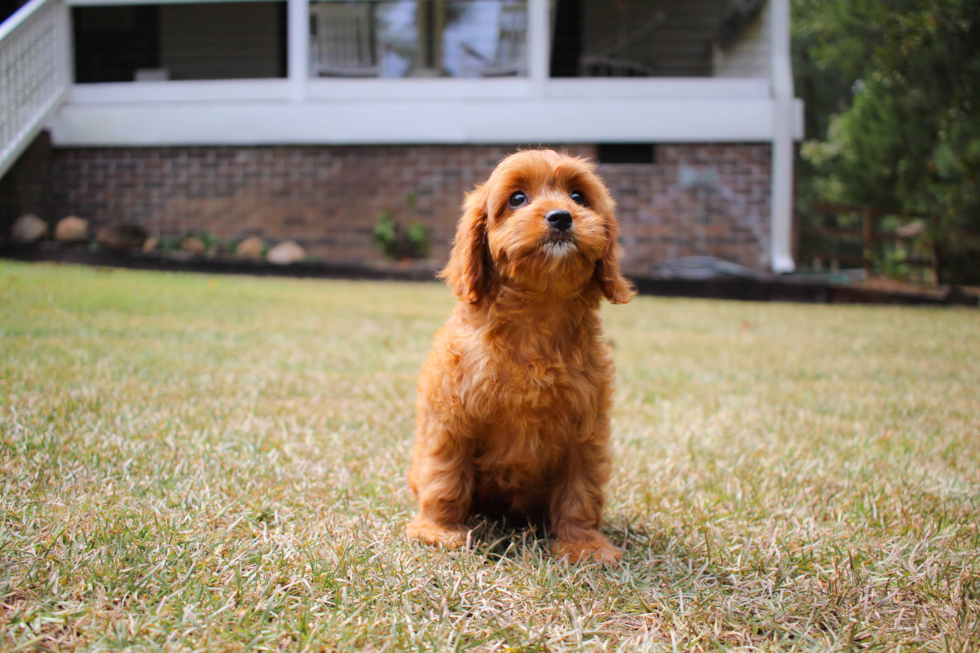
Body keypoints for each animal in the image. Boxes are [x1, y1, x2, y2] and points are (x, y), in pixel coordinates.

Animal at [408, 146, 632, 560]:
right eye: (517, 199)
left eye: (578, 197)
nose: (561, 217)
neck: (537, 316)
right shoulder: (451, 415)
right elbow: (445, 473)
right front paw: (437, 530)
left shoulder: (586, 427)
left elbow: (581, 488)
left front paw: (584, 544)